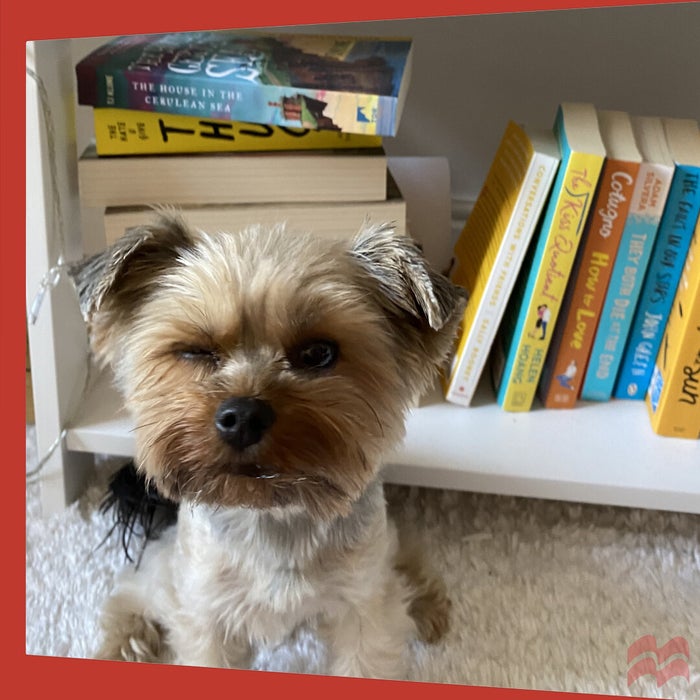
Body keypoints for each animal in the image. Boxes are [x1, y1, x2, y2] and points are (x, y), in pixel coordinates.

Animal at [69, 209, 464, 680]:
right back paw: (122, 645)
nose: (243, 416)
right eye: (197, 351)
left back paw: (425, 604)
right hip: (172, 574)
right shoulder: (208, 614)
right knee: (134, 588)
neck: (272, 513)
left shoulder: (363, 609)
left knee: (402, 552)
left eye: (318, 353)